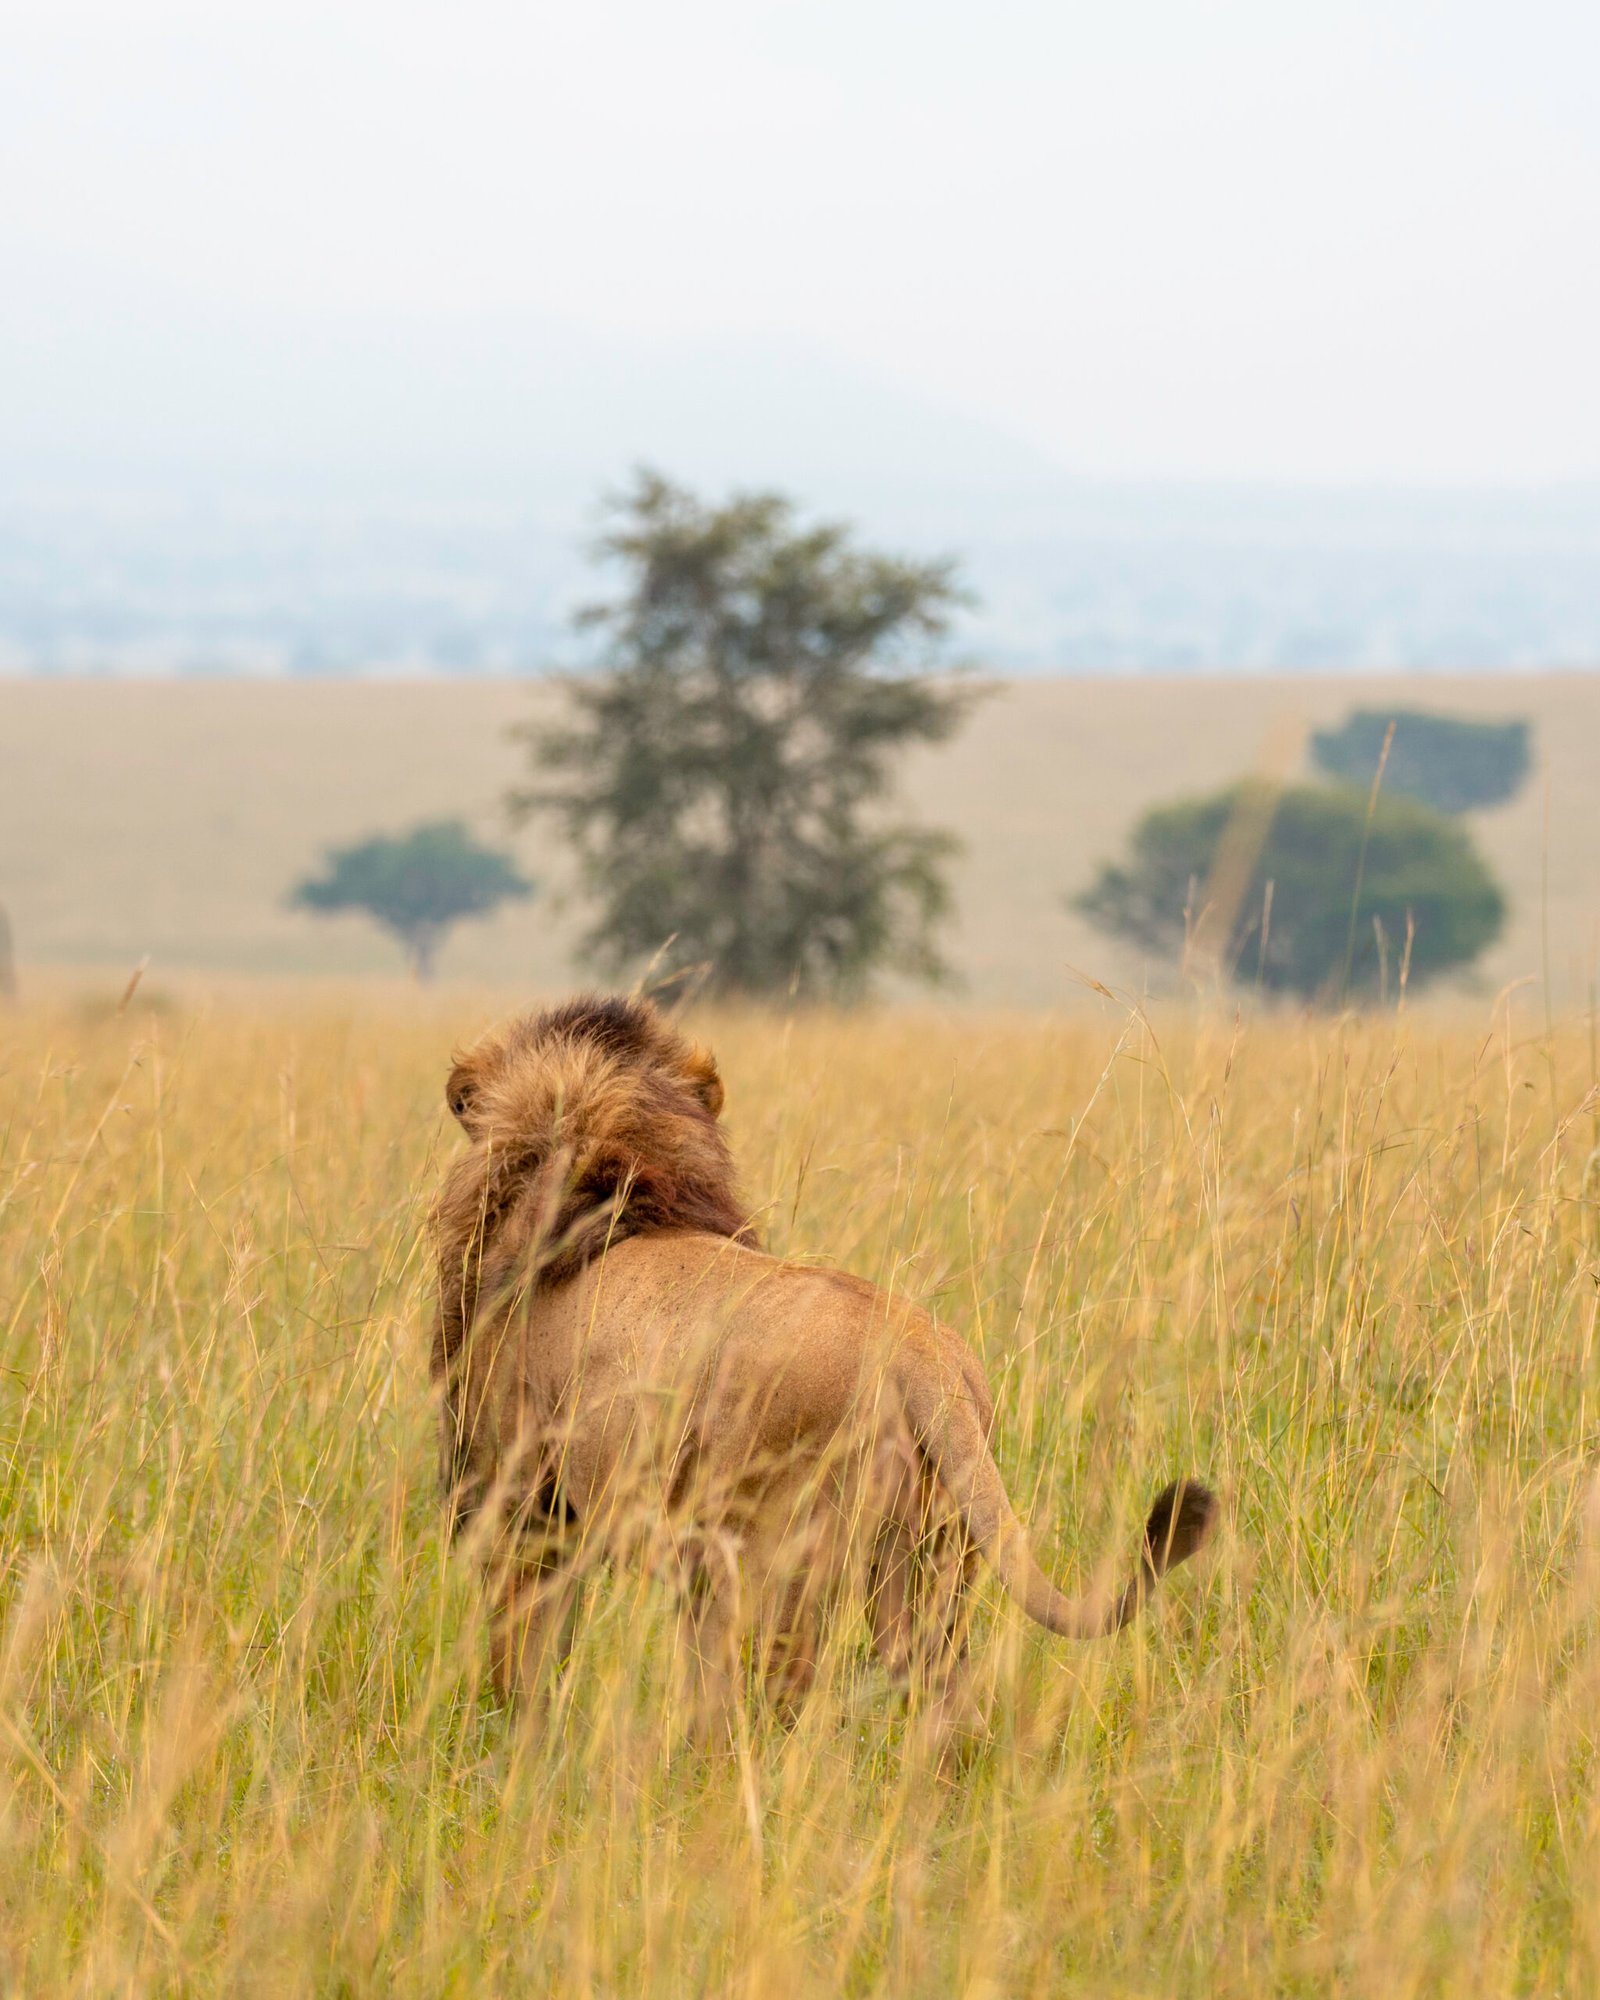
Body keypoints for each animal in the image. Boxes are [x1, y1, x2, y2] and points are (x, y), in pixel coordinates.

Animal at [431, 993, 1217, 1745]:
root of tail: (918, 1354)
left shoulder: (525, 1508)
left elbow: (525, 1659)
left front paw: (520, 1752)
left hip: (778, 1567)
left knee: (774, 1702)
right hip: (927, 1570)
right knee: (943, 1707)